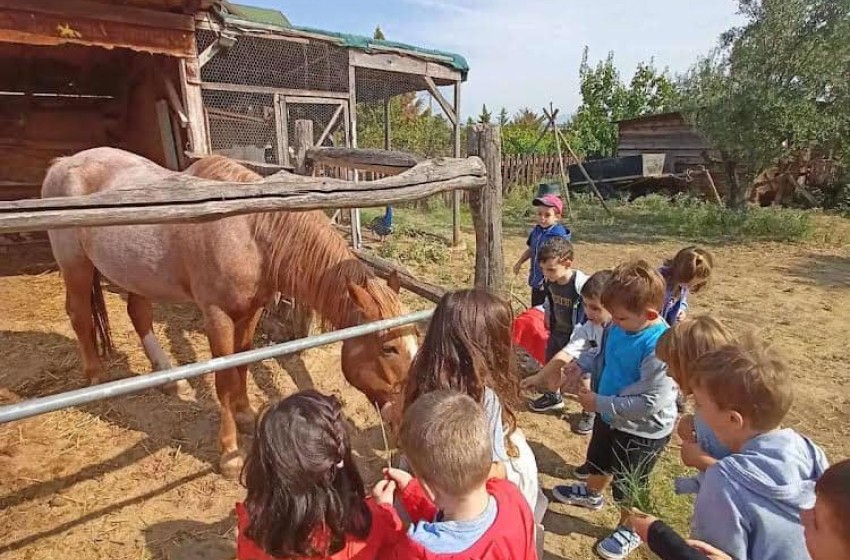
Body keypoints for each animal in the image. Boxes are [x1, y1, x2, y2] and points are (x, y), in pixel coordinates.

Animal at [39, 145, 418, 476]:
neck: (250, 233)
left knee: (138, 314)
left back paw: (167, 377)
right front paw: (230, 454)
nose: (406, 417)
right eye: (389, 348)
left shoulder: (251, 310)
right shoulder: (217, 314)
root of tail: (63, 163)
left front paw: (246, 414)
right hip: (75, 266)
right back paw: (95, 376)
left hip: (135, 273)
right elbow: (222, 378)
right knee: (78, 314)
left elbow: (243, 362)